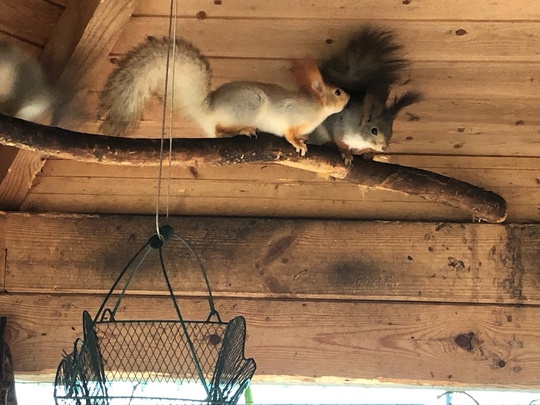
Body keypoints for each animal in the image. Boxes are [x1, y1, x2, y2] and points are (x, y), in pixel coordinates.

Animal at [98, 35, 350, 155]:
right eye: (337, 91)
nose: (348, 99)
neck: (316, 111)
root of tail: (207, 111)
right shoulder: (292, 114)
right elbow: (288, 132)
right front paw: (297, 143)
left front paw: (304, 140)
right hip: (250, 104)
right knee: (220, 130)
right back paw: (243, 129)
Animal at [308, 25, 422, 164]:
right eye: (374, 130)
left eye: (391, 130)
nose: (384, 148)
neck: (360, 138)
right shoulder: (340, 127)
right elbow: (340, 142)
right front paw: (346, 154)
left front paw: (368, 153)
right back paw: (329, 144)